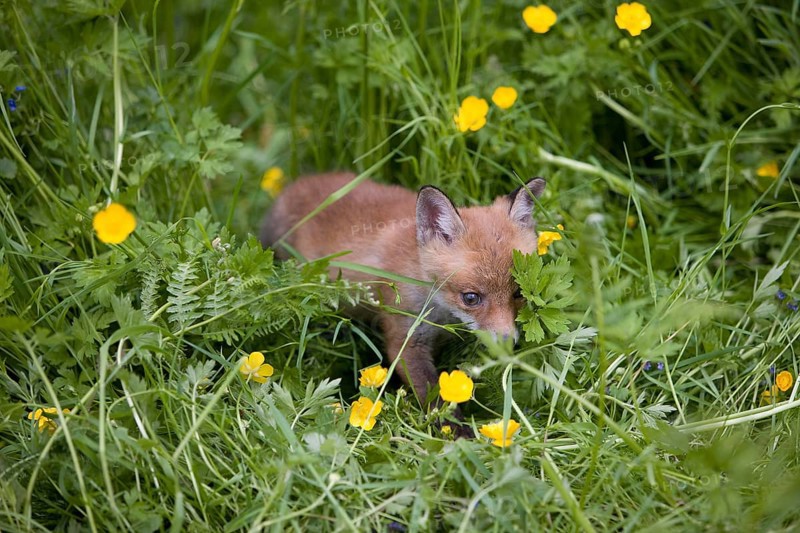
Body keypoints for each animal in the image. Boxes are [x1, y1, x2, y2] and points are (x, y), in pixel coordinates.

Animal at [260, 172, 546, 435]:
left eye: (518, 293)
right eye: (471, 298)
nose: (507, 342)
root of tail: (299, 182)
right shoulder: (405, 340)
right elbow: (434, 396)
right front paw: (458, 435)